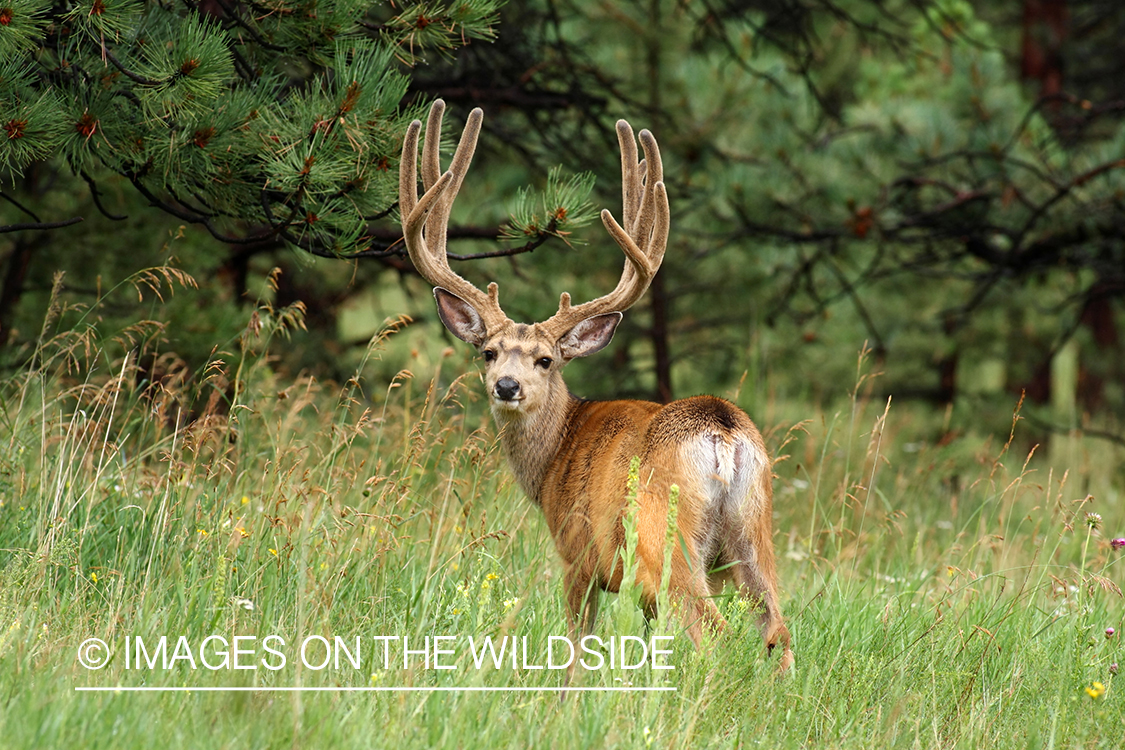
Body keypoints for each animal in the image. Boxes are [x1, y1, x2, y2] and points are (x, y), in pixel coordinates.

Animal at [399, 100, 794, 674]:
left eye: (545, 360)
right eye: (488, 352)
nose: (507, 386)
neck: (555, 454)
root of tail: (722, 433)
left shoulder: (577, 555)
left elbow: (576, 647)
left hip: (663, 539)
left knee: (710, 629)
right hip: (754, 530)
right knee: (777, 628)